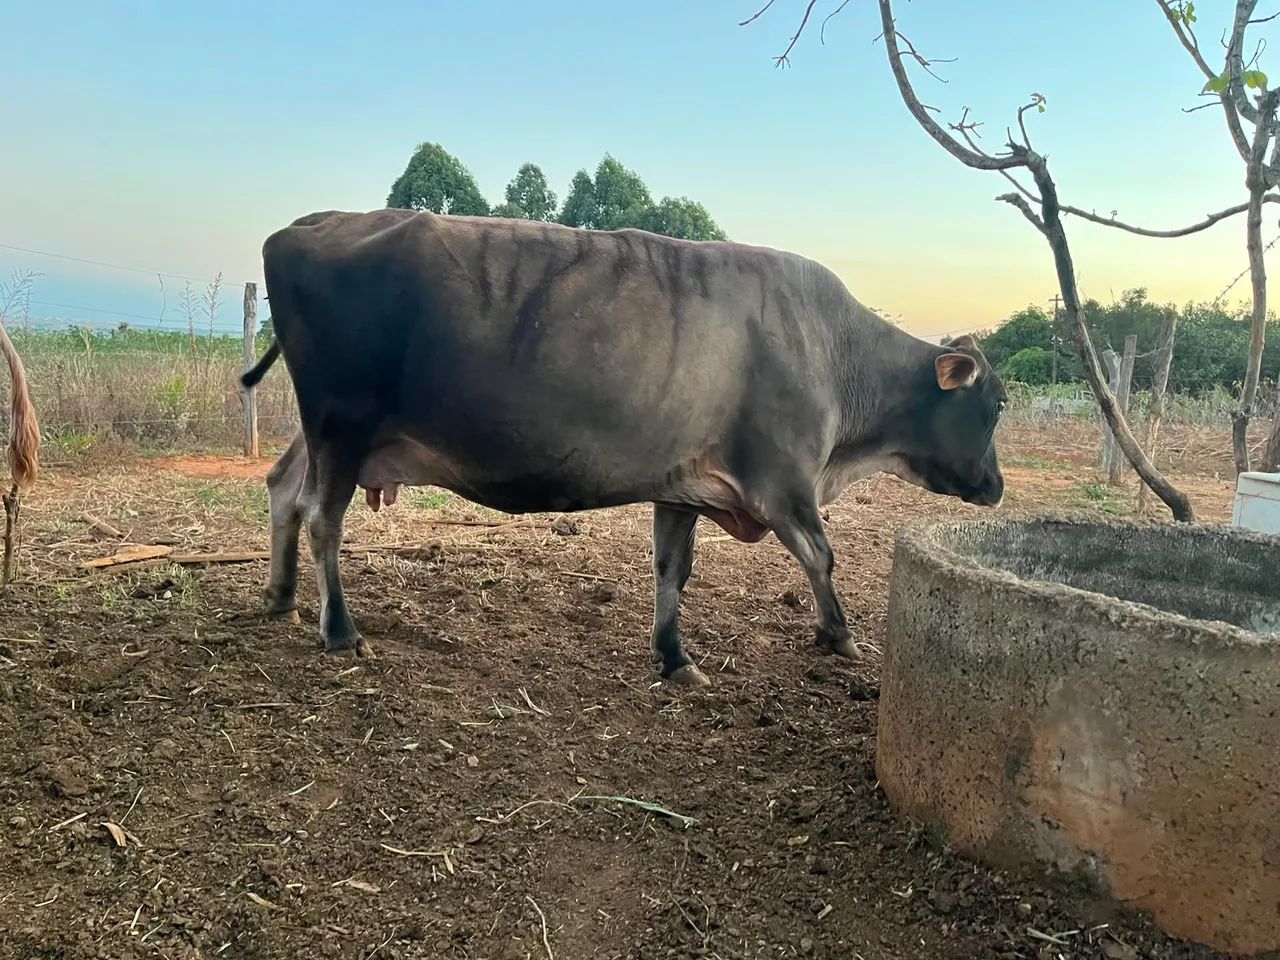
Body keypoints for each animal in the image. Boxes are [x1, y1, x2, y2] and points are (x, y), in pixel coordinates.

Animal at [243, 208, 1005, 686]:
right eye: (995, 404)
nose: (997, 486)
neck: (837, 356)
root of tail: (311, 223)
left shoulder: (684, 485)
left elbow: (672, 570)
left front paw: (673, 655)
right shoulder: (783, 482)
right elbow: (822, 556)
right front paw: (839, 635)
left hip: (325, 432)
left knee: (283, 489)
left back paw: (281, 596)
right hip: (343, 426)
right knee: (322, 518)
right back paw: (338, 628)